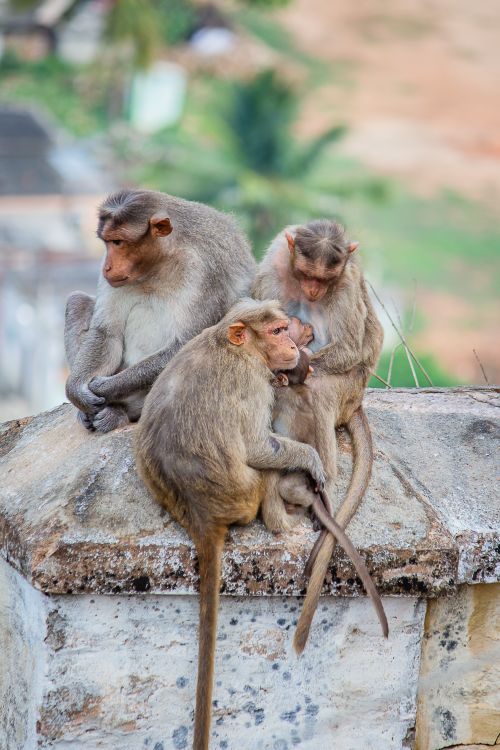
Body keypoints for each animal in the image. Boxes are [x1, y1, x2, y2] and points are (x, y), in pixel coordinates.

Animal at [64, 188, 256, 433]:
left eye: (118, 241)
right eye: (106, 242)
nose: (106, 267)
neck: (161, 261)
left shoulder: (204, 271)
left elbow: (185, 344)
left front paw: (103, 387)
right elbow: (107, 333)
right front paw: (77, 390)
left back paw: (119, 412)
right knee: (76, 301)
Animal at [134, 298, 386, 750]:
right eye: (276, 332)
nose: (292, 344)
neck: (235, 346)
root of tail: (200, 513)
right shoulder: (253, 381)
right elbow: (255, 444)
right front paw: (310, 461)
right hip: (246, 492)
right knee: (264, 464)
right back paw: (286, 516)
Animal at [252, 219, 385, 653]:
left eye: (324, 280)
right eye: (307, 275)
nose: (313, 291)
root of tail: (357, 401)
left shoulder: (345, 283)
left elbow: (349, 347)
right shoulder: (275, 266)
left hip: (351, 388)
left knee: (321, 389)